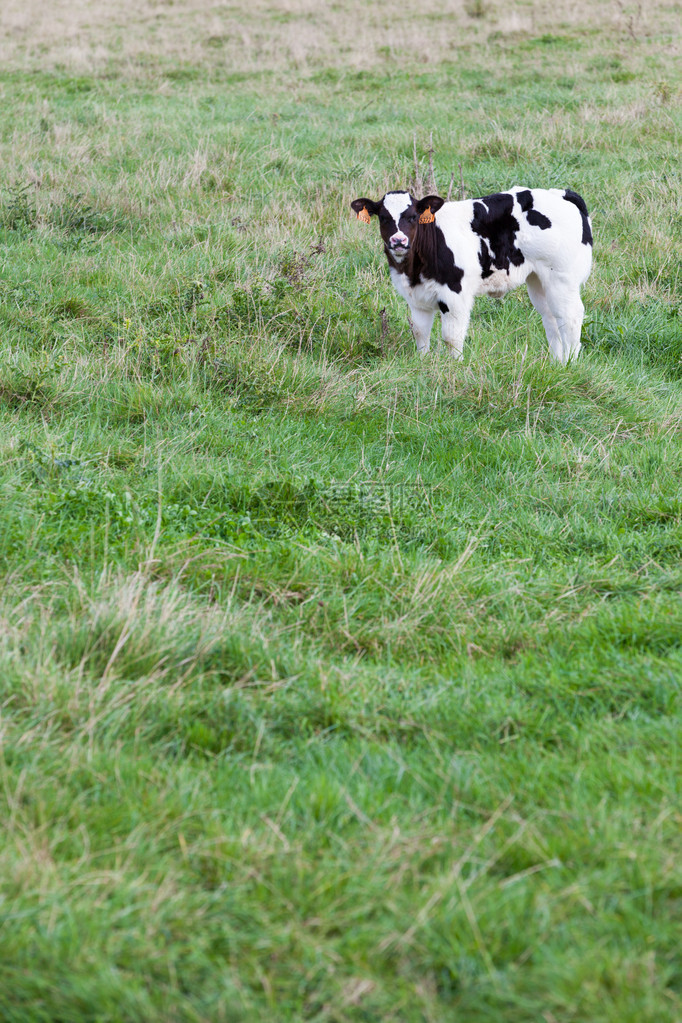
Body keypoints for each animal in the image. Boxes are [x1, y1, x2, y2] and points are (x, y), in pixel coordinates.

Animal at [351, 188, 593, 364]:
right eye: (383, 218)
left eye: (412, 217)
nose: (398, 241)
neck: (413, 270)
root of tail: (562, 194)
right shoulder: (416, 298)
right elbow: (420, 332)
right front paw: (423, 362)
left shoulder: (455, 294)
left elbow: (451, 337)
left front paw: (455, 367)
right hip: (538, 280)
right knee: (551, 317)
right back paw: (556, 363)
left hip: (562, 278)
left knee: (570, 316)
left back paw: (569, 363)